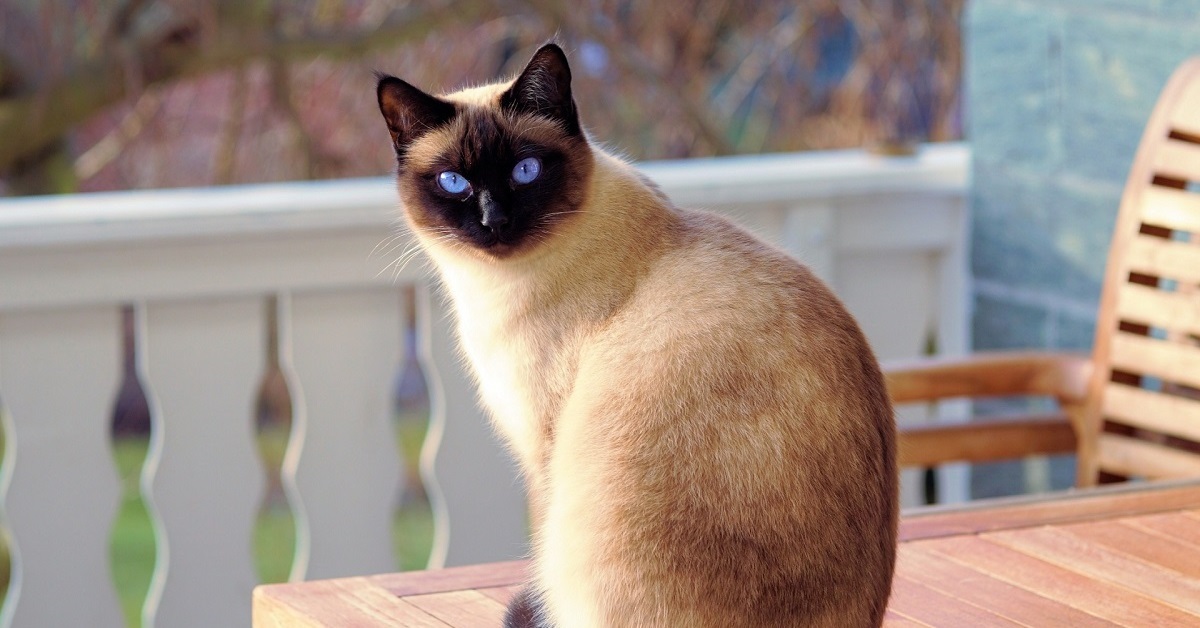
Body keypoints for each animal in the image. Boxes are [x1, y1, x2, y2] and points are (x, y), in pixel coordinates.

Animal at [374, 41, 892, 624]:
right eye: (454, 183)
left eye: (526, 171)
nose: (494, 222)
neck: (496, 285)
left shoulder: (543, 446)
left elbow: (541, 549)